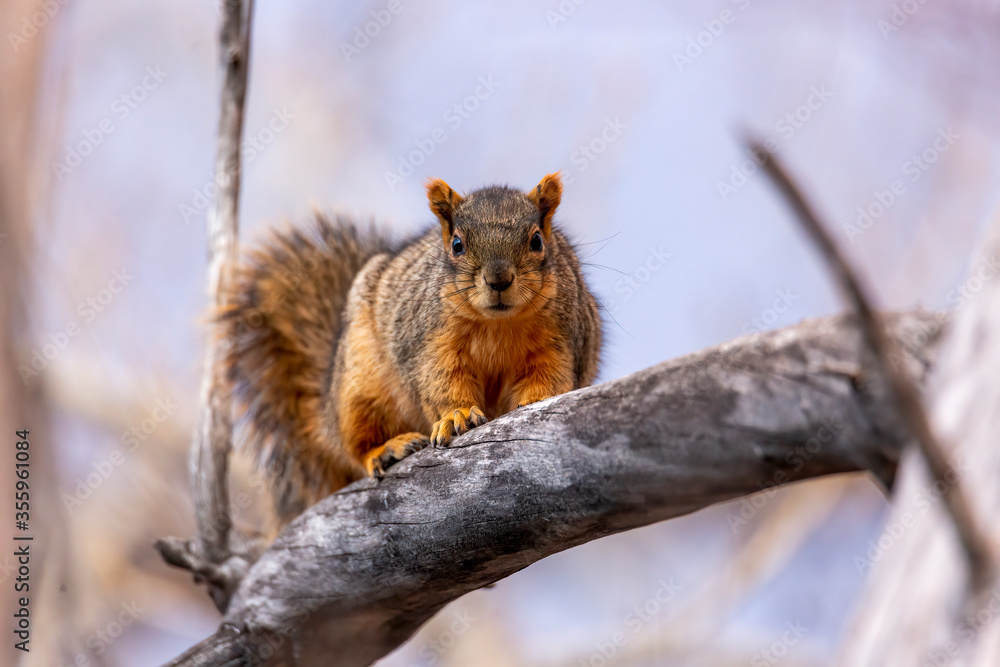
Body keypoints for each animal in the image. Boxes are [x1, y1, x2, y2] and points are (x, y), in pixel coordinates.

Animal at [218, 173, 603, 528]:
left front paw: (537, 398)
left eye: (536, 241)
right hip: (360, 389)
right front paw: (457, 415)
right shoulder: (430, 345)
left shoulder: (561, 341)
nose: (498, 280)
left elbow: (551, 376)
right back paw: (385, 449)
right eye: (458, 245)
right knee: (354, 444)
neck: (498, 322)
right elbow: (440, 384)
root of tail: (325, 408)